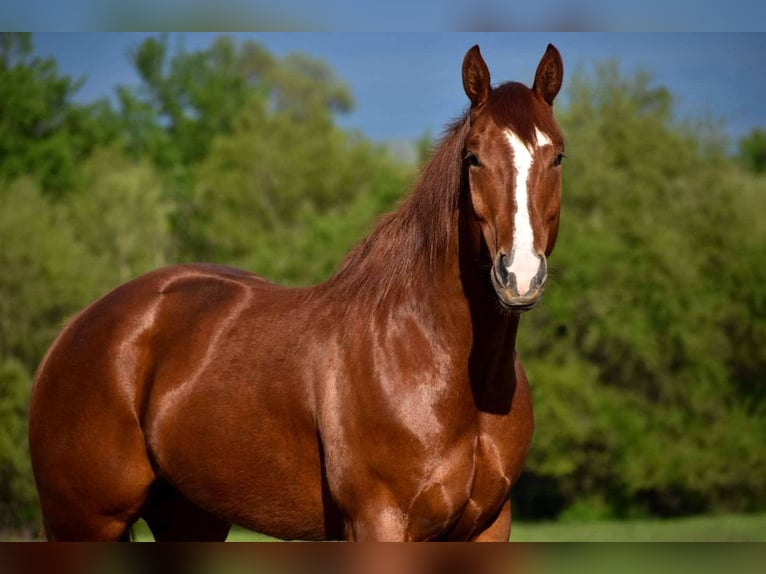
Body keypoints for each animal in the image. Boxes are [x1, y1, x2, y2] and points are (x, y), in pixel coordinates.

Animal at [28, 44, 564, 541]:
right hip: (83, 525)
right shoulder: (379, 522)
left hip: (189, 518)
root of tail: (75, 332)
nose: (519, 275)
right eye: (473, 157)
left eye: (556, 155)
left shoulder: (487, 526)